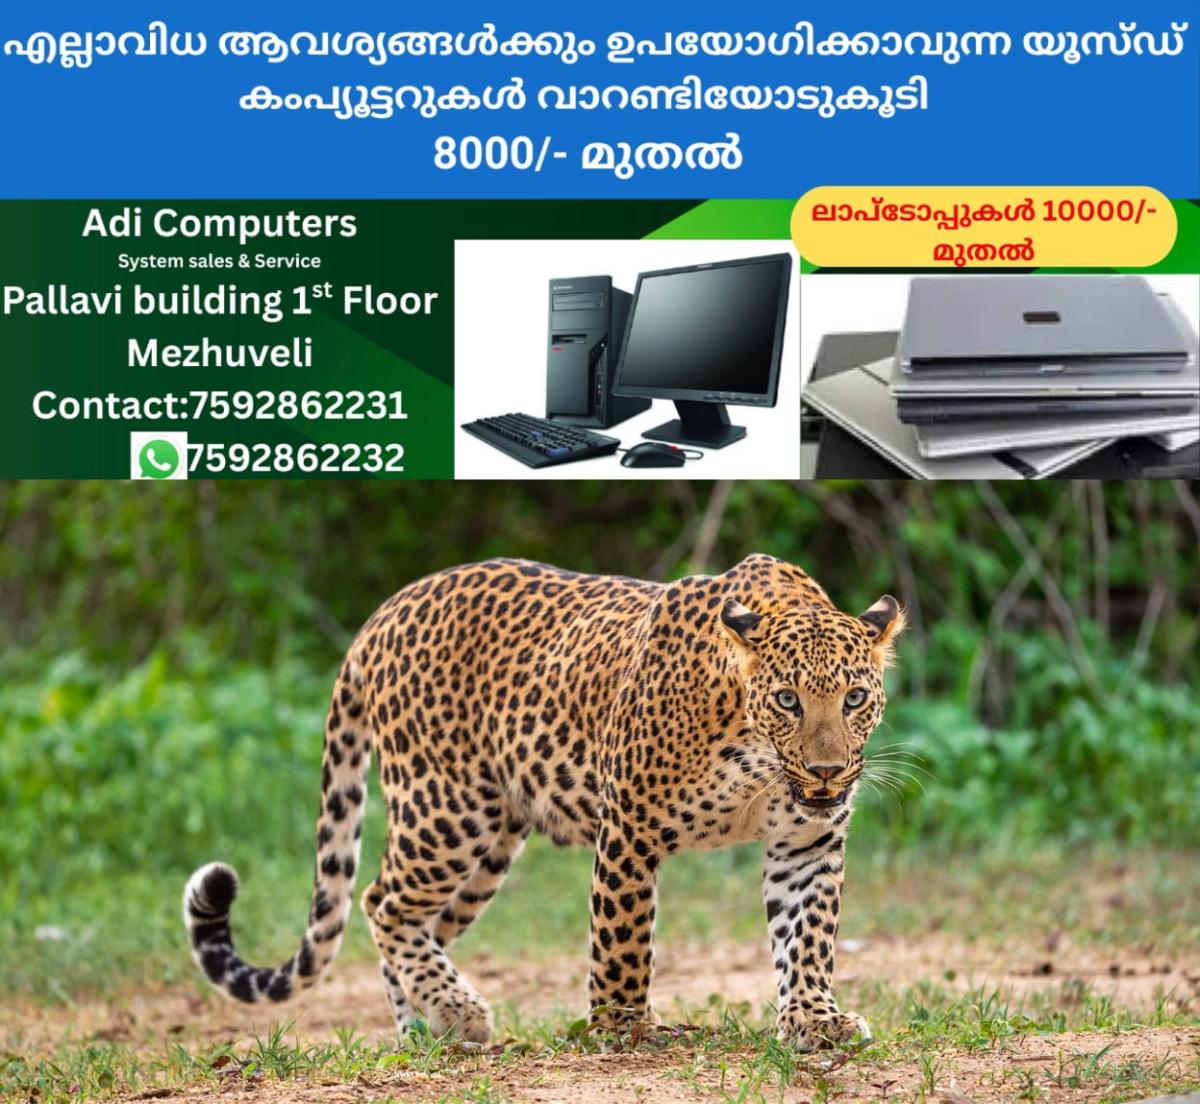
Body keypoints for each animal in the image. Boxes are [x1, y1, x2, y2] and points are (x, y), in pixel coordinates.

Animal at [183, 553, 903, 1049]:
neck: (757, 757)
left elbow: (808, 937)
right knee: (382, 901)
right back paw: (456, 1012)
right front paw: (622, 1029)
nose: (827, 771)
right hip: (445, 810)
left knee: (416, 922)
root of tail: (381, 616)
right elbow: (623, 939)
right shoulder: (630, 828)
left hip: (490, 846)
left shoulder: (807, 842)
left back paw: (425, 1026)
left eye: (854, 698)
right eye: (787, 700)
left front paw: (815, 1020)